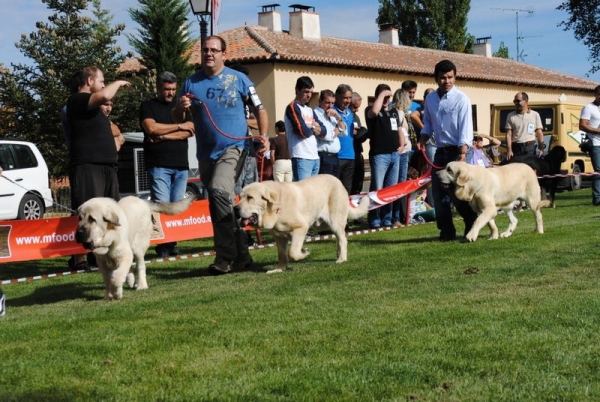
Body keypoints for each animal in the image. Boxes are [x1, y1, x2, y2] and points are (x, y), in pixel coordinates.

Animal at [236, 174, 368, 274]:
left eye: (250, 197)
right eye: (240, 197)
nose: (235, 208)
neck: (275, 209)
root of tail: (338, 181)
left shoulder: (301, 227)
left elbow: (293, 252)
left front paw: (305, 253)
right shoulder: (279, 237)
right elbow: (282, 255)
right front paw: (278, 269)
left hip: (334, 220)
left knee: (342, 239)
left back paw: (342, 258)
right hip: (322, 224)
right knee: (339, 238)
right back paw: (338, 254)